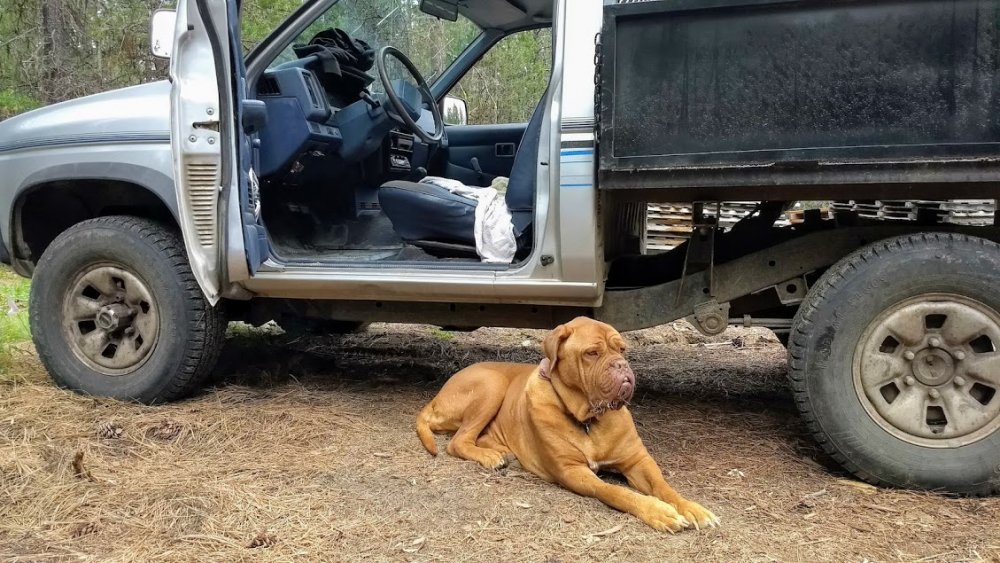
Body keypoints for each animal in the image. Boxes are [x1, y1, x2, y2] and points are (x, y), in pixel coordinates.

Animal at [416, 317, 718, 532]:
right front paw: (657, 511)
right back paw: (490, 456)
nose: (621, 365)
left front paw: (692, 508)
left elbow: (663, 486)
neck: (589, 420)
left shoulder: (637, 461)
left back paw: (500, 451)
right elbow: (615, 491)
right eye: (592, 353)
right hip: (492, 384)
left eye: (622, 349)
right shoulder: (572, 471)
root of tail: (438, 395)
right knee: (458, 442)